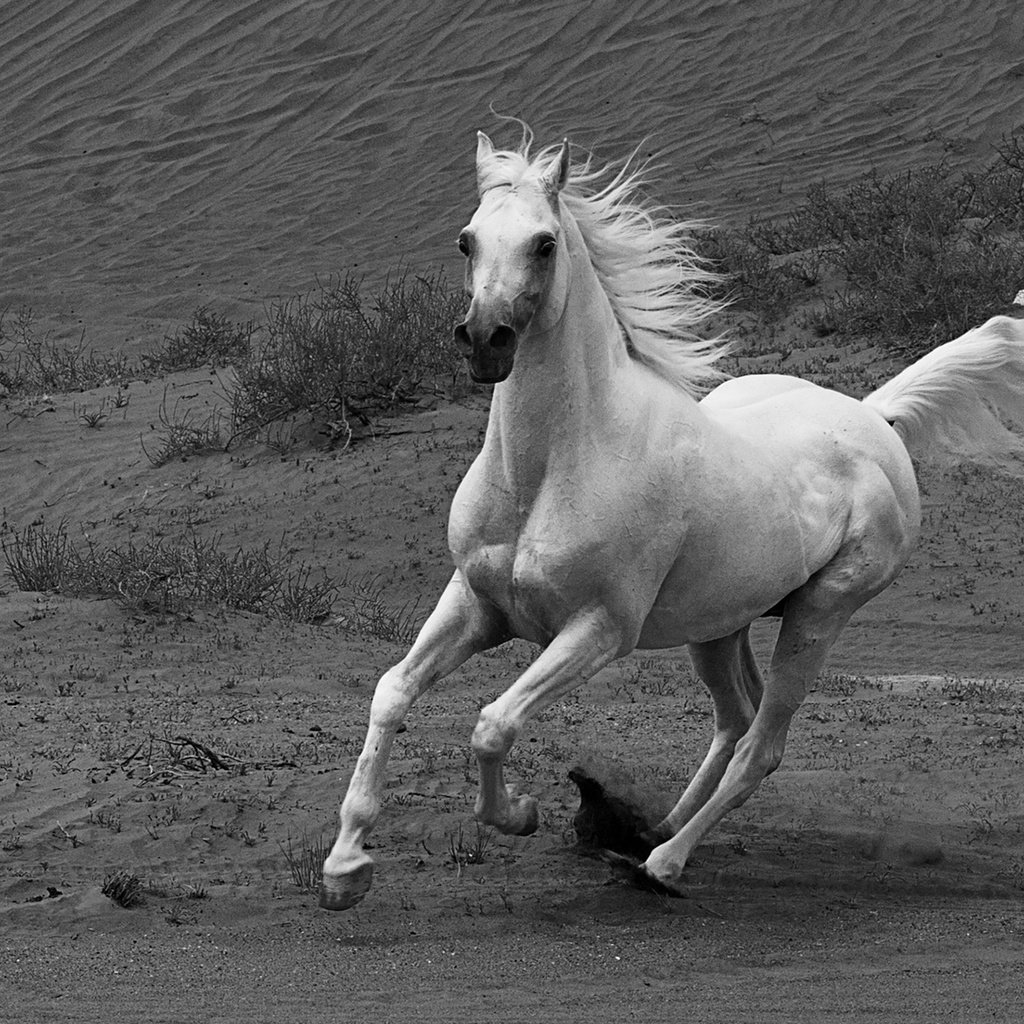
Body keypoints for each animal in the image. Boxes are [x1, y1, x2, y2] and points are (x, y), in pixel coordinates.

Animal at [319, 128, 1024, 913]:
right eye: (466, 240)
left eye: (543, 243)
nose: (484, 340)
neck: (555, 466)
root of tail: (874, 417)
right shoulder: (476, 603)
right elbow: (393, 692)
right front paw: (345, 868)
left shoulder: (599, 629)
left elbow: (494, 724)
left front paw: (518, 815)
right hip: (720, 625)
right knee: (736, 719)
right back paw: (643, 831)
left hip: (821, 614)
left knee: (761, 746)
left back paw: (662, 863)